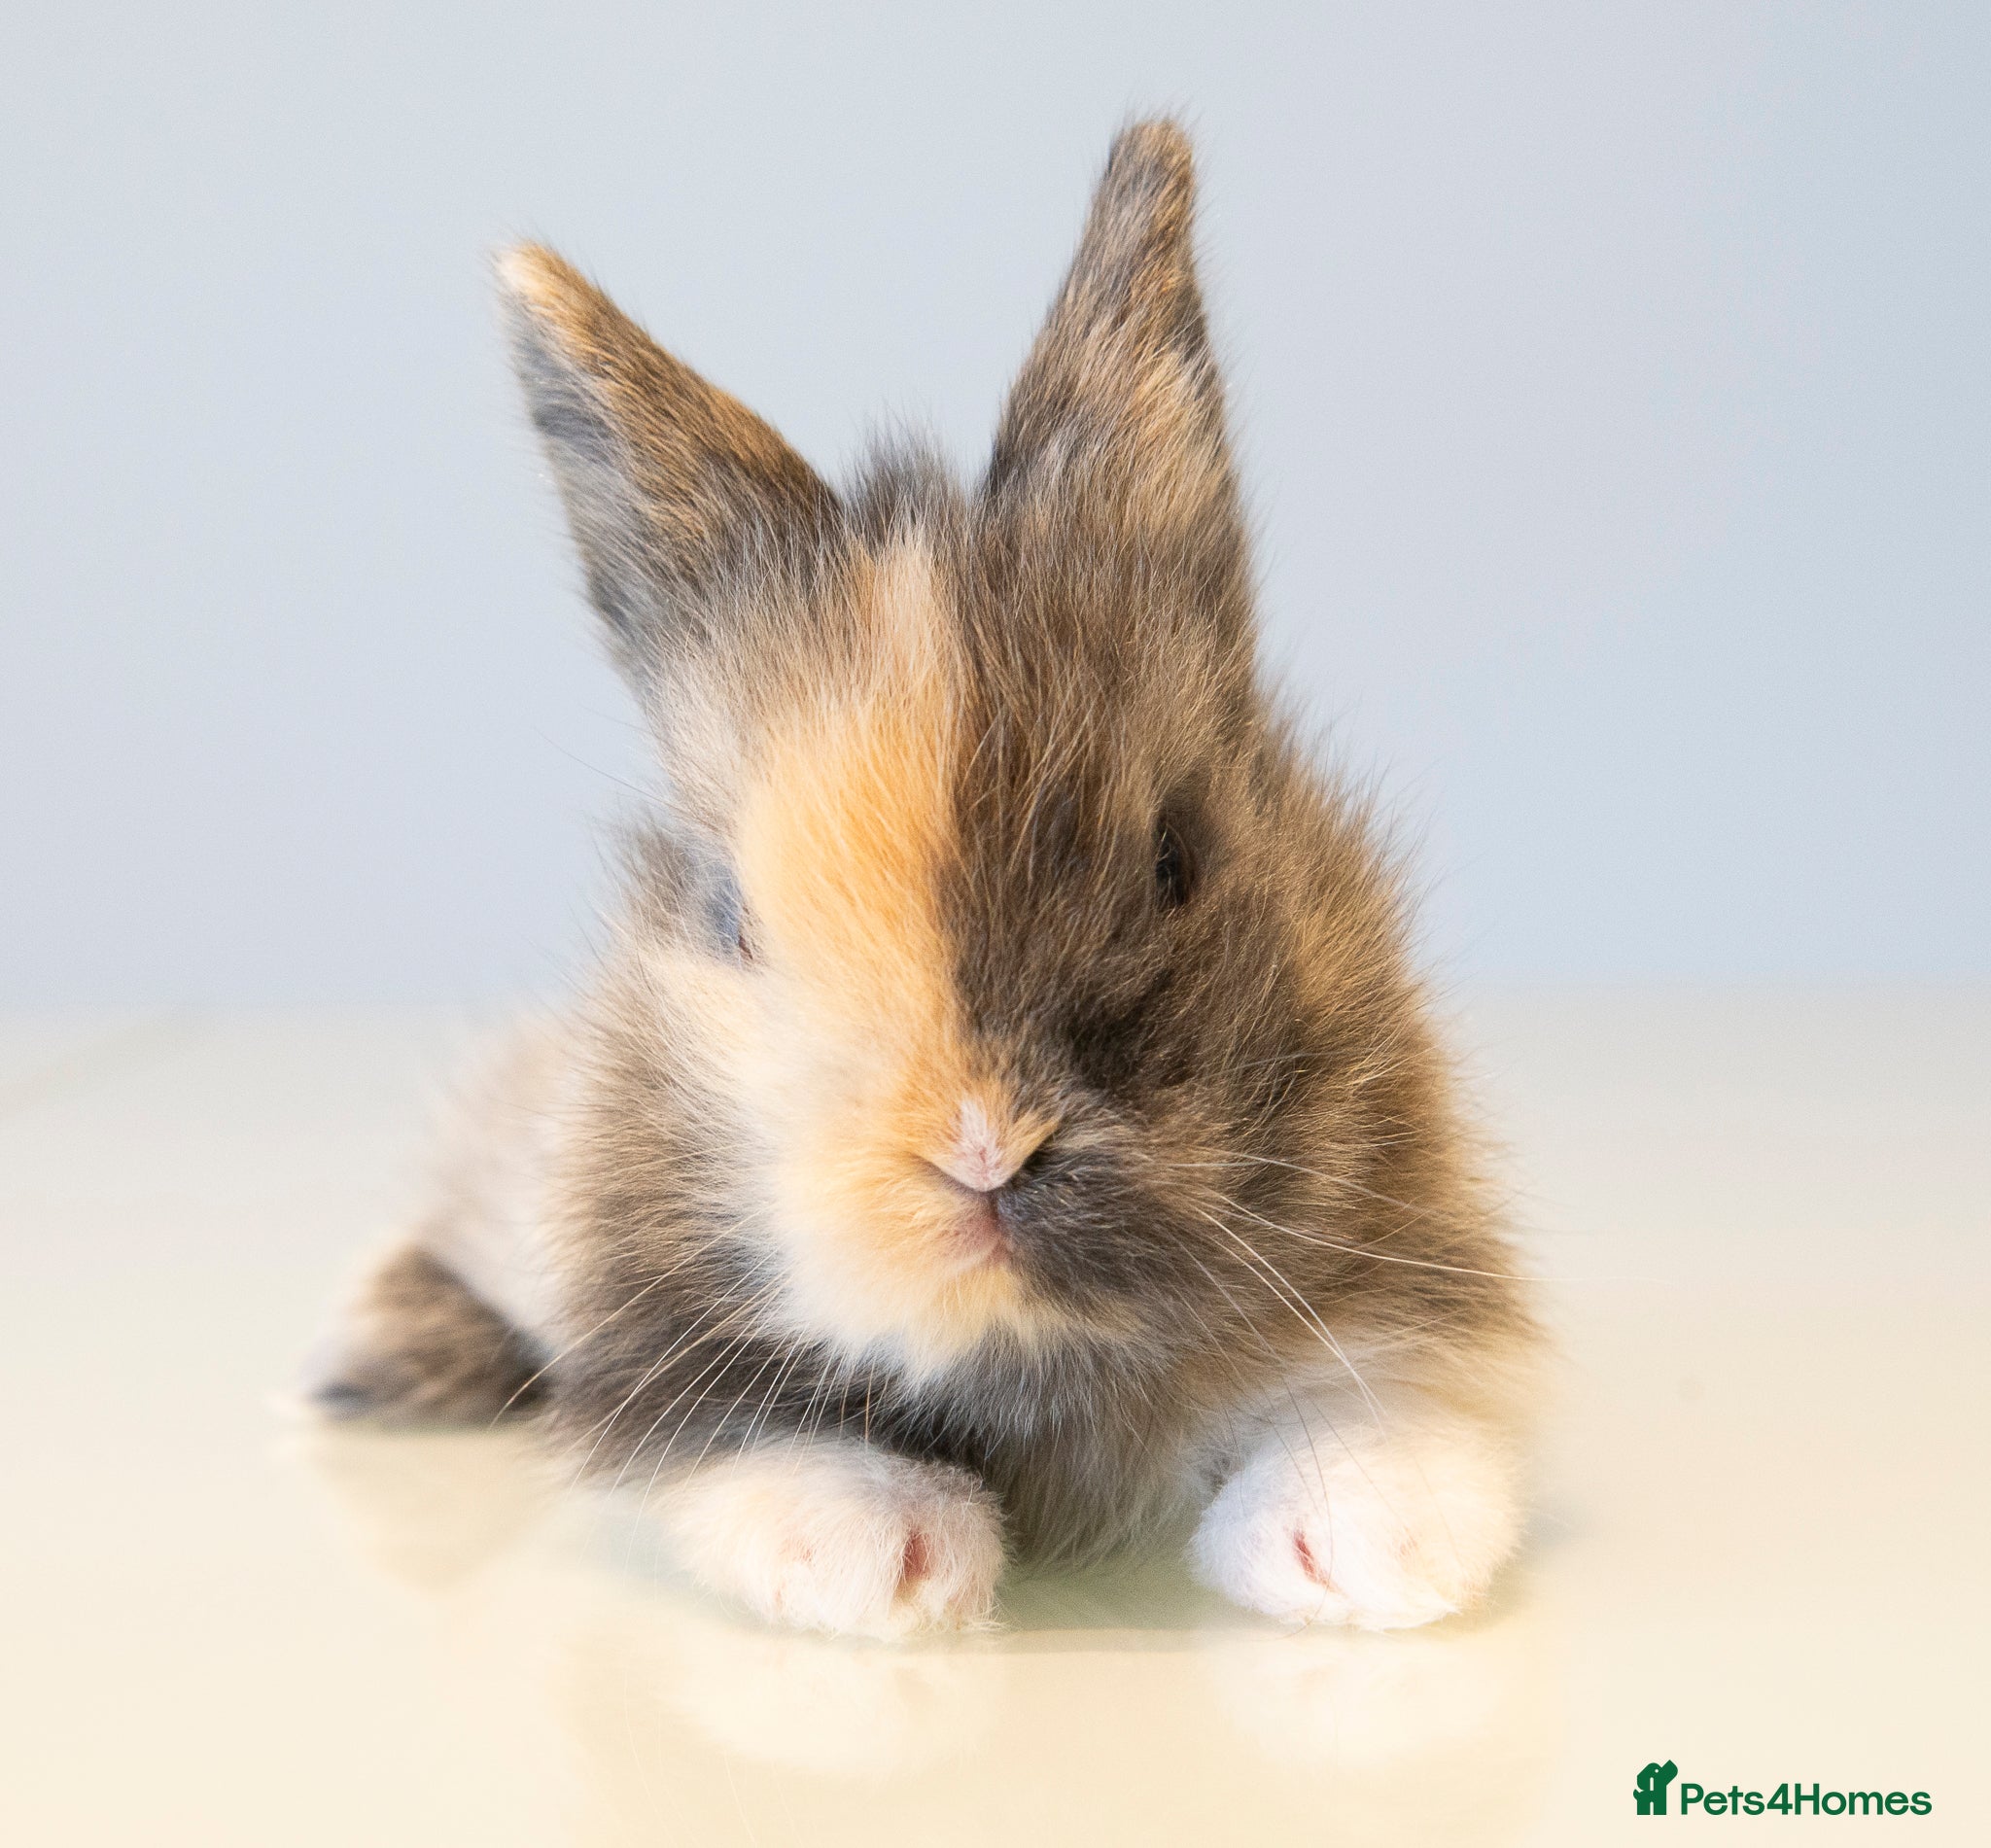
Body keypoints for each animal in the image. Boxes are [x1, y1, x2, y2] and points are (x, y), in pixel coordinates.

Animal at [304, 119, 1539, 1640]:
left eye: (1175, 854)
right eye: (731, 918)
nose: (978, 1144)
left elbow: (1373, 1402)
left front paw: (1361, 1550)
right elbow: (754, 1444)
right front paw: (887, 1553)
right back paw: (370, 1356)